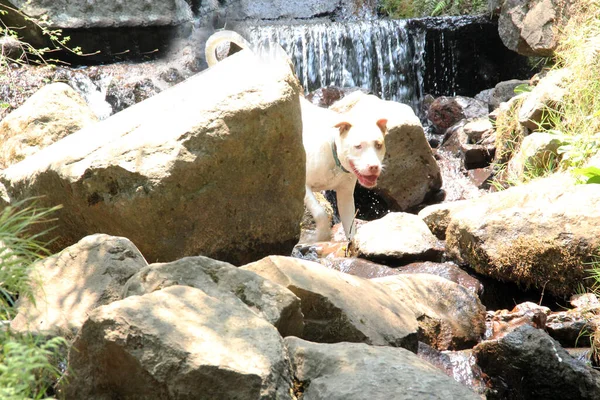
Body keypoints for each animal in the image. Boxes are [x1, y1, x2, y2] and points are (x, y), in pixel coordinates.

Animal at [206, 30, 390, 241]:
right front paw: (321, 237)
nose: (374, 167)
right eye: (358, 146)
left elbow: (350, 226)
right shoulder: (304, 187)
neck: (333, 152)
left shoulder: (345, 195)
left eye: (378, 144)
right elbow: (320, 214)